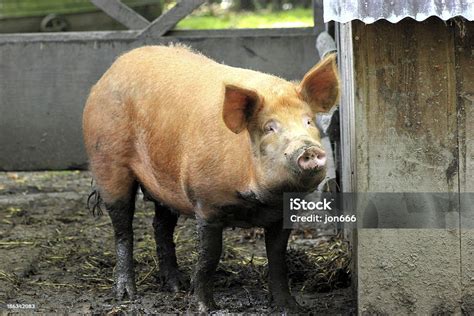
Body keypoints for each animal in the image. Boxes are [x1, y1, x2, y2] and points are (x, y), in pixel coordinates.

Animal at [82, 43, 340, 312]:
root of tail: (111, 70)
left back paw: (176, 286)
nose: (308, 148)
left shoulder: (280, 214)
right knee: (122, 227)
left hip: (165, 183)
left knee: (161, 226)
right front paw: (206, 308)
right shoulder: (206, 204)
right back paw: (126, 295)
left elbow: (278, 258)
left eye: (308, 121)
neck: (256, 202)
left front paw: (291, 307)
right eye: (270, 127)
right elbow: (209, 257)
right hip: (107, 160)